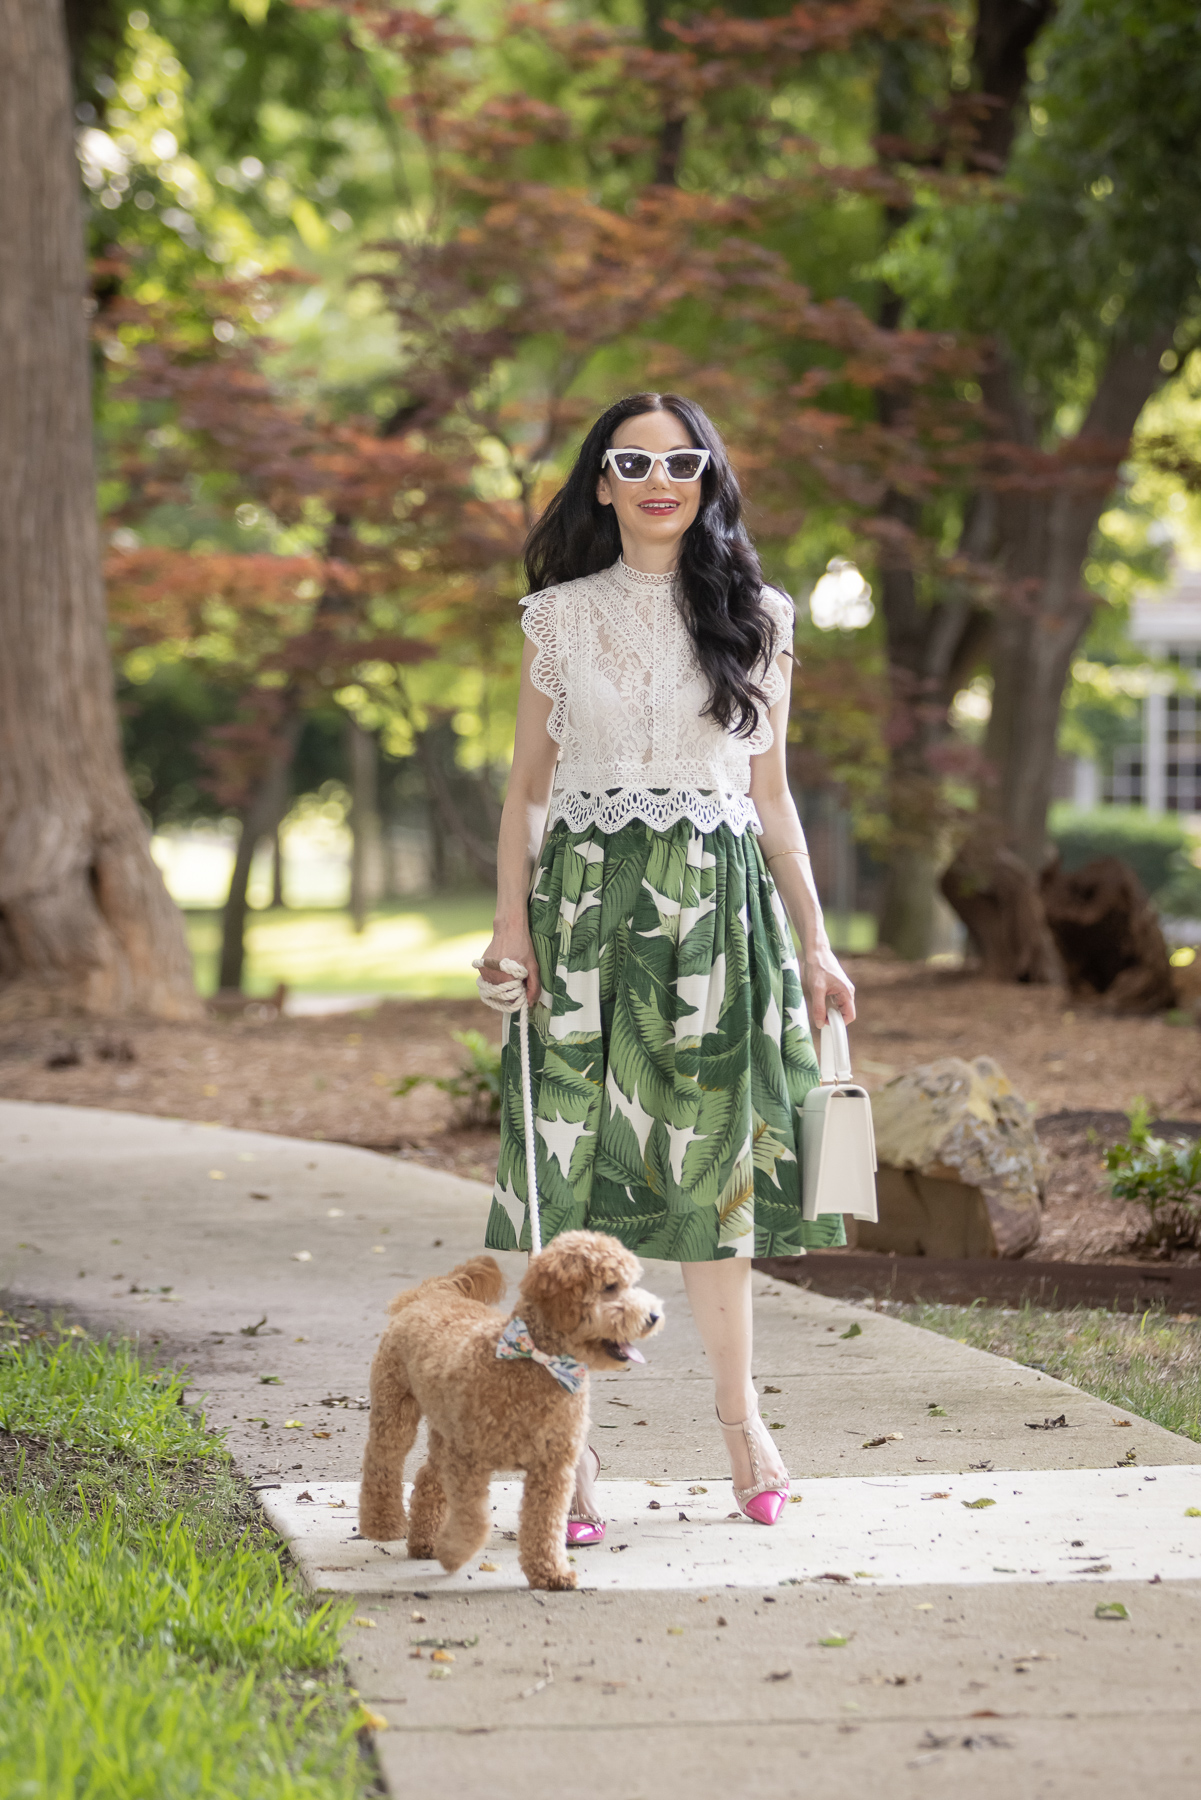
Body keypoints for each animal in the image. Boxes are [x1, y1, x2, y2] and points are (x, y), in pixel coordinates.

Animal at [356, 1238, 666, 1591]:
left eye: (631, 1283)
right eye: (611, 1287)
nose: (654, 1316)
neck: (538, 1363)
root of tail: (431, 1294)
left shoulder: (551, 1468)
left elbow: (545, 1525)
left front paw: (550, 1573)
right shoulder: (468, 1461)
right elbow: (475, 1521)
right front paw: (453, 1553)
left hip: (445, 1430)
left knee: (427, 1477)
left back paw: (425, 1541)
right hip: (396, 1408)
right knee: (382, 1461)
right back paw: (384, 1524)